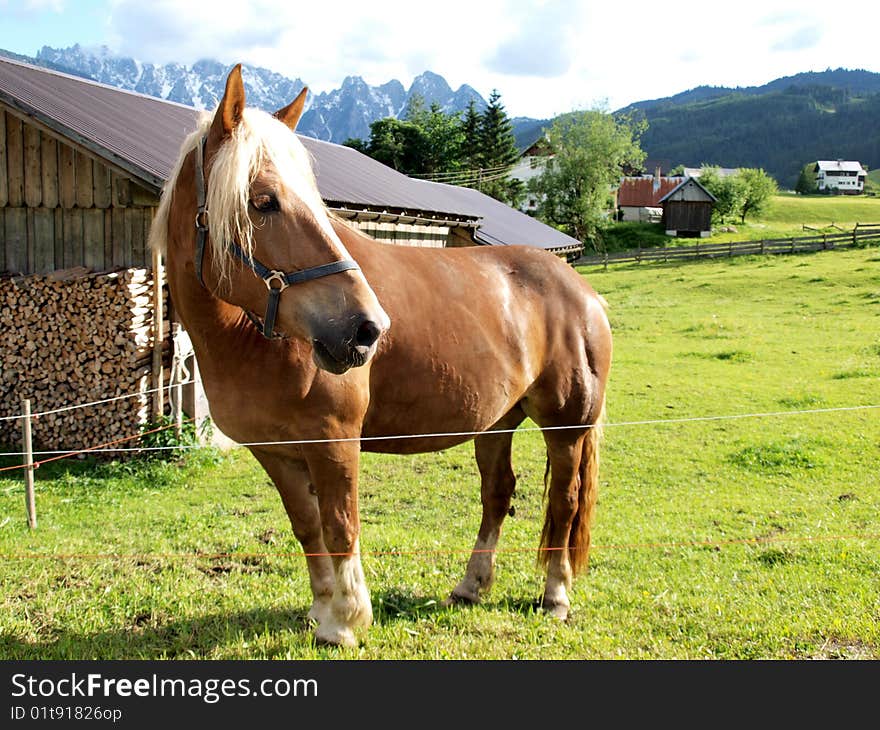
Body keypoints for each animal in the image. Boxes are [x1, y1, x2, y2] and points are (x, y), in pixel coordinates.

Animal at [150, 62, 612, 644]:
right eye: (263, 201)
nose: (368, 329)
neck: (250, 337)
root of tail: (582, 290)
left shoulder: (333, 440)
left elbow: (340, 526)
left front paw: (346, 620)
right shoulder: (276, 451)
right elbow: (308, 529)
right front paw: (322, 611)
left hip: (566, 426)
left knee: (564, 503)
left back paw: (555, 596)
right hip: (497, 422)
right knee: (498, 493)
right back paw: (470, 586)